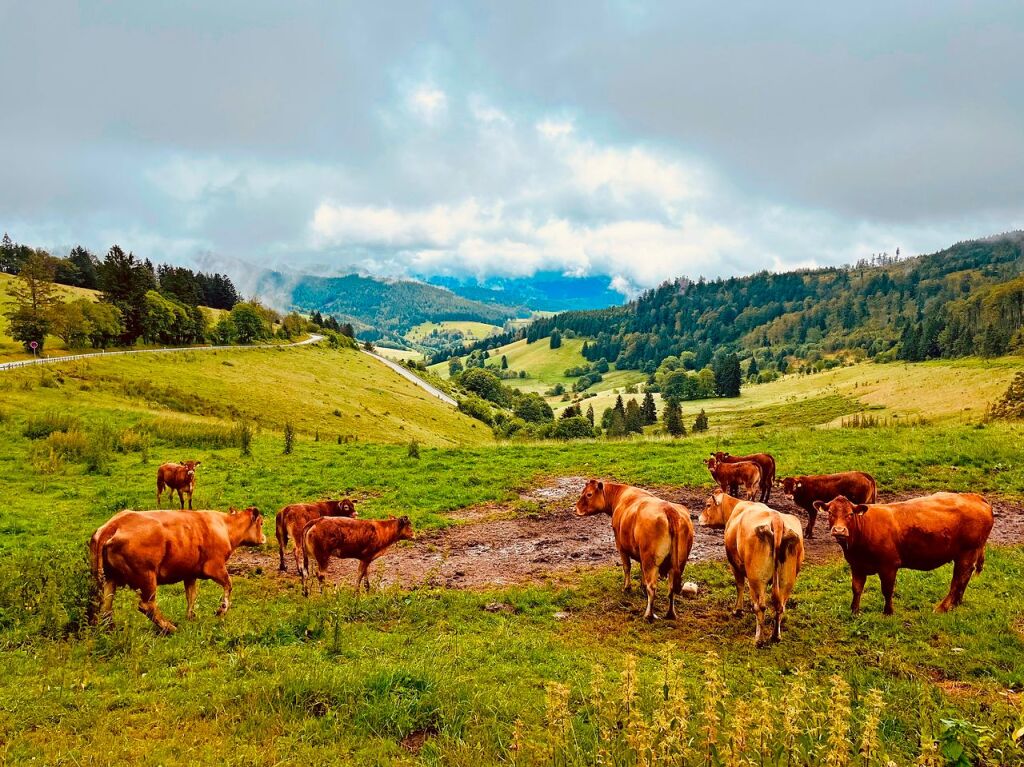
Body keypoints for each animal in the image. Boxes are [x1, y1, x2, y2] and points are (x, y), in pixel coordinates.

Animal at [88, 507, 266, 634]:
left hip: (110, 578)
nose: (264, 538)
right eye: (261, 523)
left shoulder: (190, 573)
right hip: (147, 578)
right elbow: (228, 585)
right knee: (146, 606)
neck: (225, 526)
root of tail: (116, 523)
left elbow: (191, 596)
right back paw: (170, 628)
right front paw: (221, 610)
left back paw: (111, 630)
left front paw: (191, 617)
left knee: (106, 607)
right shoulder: (215, 567)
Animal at [577, 479, 696, 622]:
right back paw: (670, 614)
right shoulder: (640, 554)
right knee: (671, 587)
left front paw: (626, 588)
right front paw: (641, 587)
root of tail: (669, 509)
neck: (621, 495)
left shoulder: (621, 546)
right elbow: (641, 571)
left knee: (652, 587)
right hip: (678, 562)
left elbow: (627, 567)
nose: (576, 508)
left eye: (589, 494)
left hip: (651, 561)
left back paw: (648, 615)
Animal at [815, 491, 991, 614]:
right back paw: (956, 603)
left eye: (850, 514)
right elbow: (856, 589)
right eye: (830, 513)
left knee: (958, 579)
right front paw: (854, 611)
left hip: (967, 552)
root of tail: (975, 497)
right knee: (964, 578)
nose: (839, 530)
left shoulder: (888, 566)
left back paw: (943, 607)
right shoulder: (857, 565)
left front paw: (888, 612)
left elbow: (887, 590)